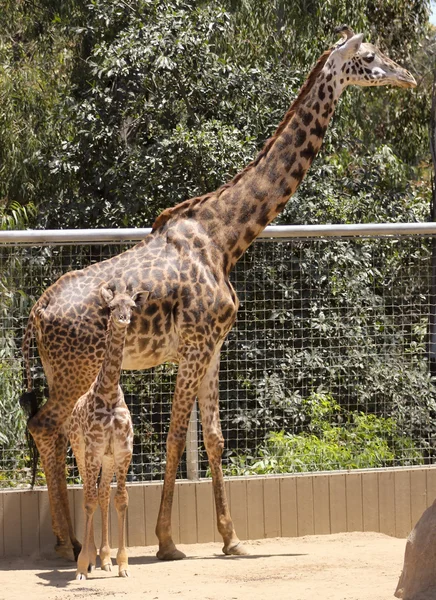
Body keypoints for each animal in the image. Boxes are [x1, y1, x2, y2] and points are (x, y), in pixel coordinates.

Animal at [69, 284, 147, 580]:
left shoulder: (123, 451)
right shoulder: (92, 450)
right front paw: (82, 566)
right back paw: (91, 559)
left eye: (133, 306)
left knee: (102, 494)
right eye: (112, 307)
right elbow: (89, 500)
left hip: (108, 459)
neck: (109, 393)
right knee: (88, 493)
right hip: (81, 453)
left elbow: (120, 500)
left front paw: (122, 564)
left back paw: (104, 559)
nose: (124, 319)